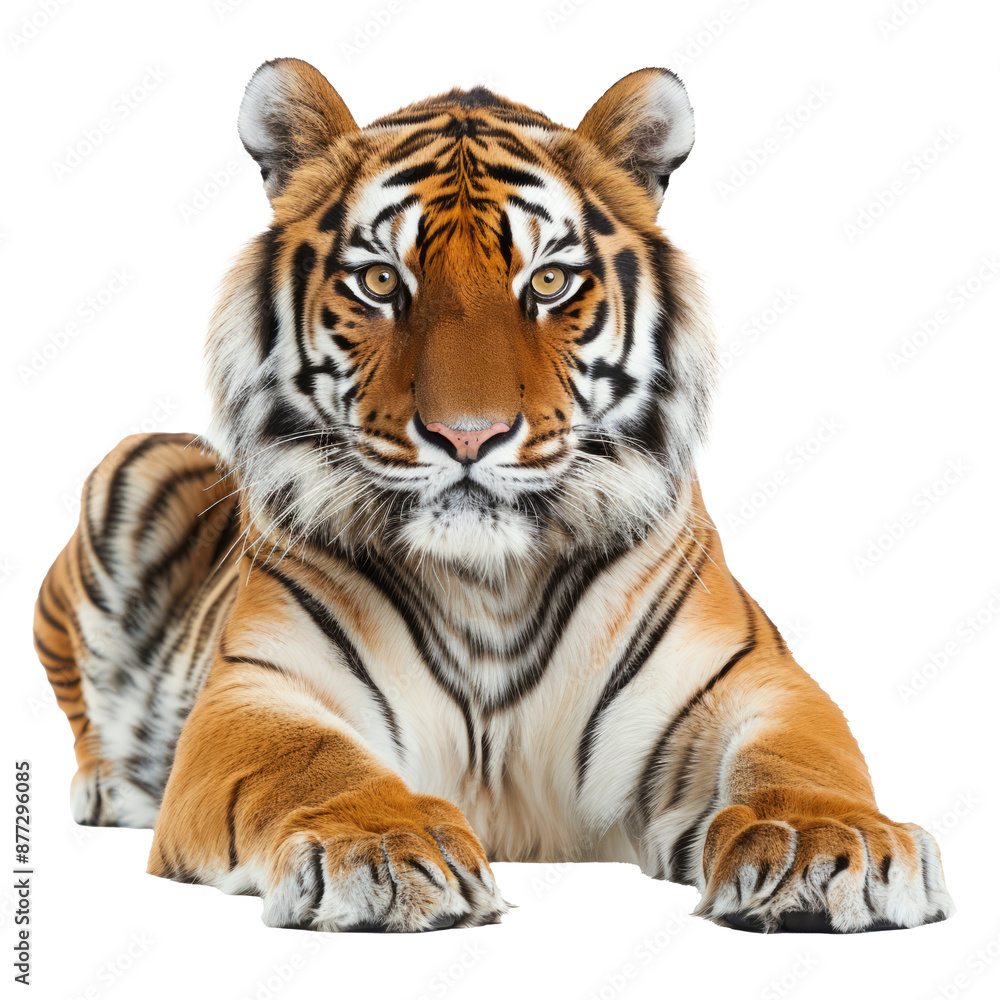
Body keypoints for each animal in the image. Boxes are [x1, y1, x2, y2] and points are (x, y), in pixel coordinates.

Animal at [33, 58, 954, 934]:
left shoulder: (752, 677)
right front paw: (379, 848)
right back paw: (112, 787)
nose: (468, 437)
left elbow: (802, 757)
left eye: (547, 284)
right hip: (136, 464)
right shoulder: (259, 688)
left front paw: (826, 847)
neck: (489, 584)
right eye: (380, 281)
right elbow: (308, 761)